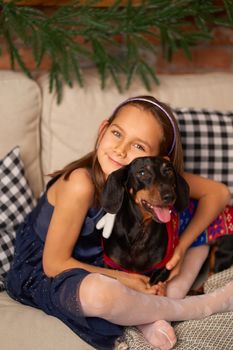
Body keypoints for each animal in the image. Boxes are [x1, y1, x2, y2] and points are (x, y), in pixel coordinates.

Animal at [99, 157, 189, 286]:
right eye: (142, 173)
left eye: (168, 171)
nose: (169, 196)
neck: (140, 231)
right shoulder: (110, 265)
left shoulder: (162, 269)